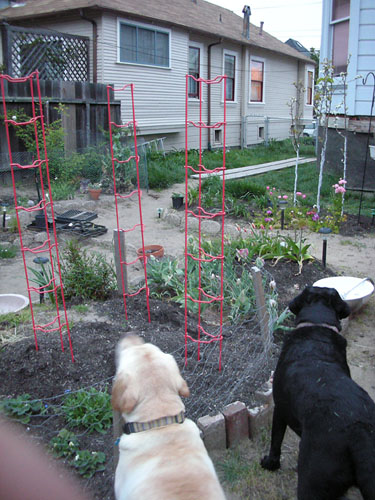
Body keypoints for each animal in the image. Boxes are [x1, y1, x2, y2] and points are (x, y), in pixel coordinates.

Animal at [262, 286, 375, 500]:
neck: (317, 325)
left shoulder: (280, 409)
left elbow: (276, 440)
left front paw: (270, 463)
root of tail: (359, 433)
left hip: (313, 478)